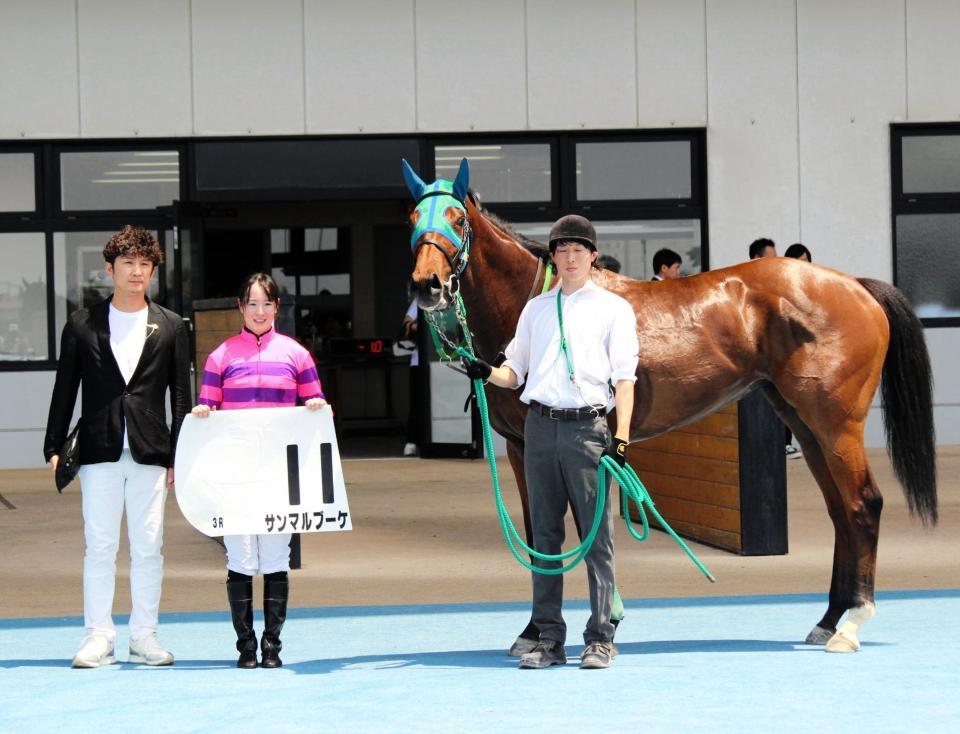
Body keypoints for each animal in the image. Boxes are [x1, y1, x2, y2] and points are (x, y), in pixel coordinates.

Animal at [404, 161, 936, 656]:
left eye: (456, 218)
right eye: (412, 217)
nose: (427, 285)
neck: (536, 304)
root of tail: (856, 285)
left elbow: (586, 530)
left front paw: (605, 622)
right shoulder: (523, 448)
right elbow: (540, 535)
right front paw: (534, 632)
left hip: (835, 423)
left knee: (863, 504)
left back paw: (851, 624)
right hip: (803, 424)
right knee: (840, 510)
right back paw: (827, 619)